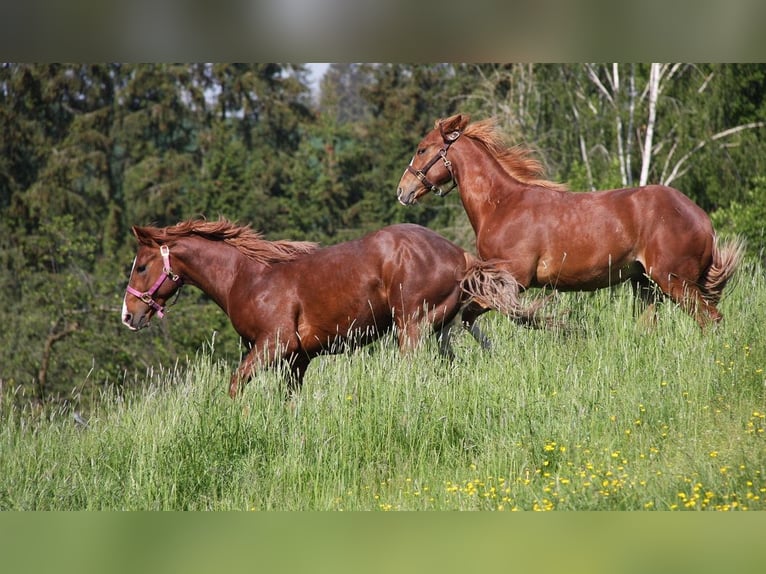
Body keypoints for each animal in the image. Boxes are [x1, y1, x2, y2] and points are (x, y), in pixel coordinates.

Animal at [121, 218, 540, 398]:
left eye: (141, 266)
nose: (128, 315)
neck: (248, 277)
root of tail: (459, 255)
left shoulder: (272, 346)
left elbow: (236, 384)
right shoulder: (297, 360)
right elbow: (289, 400)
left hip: (412, 327)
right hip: (440, 330)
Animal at [400, 113, 748, 328]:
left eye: (422, 149)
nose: (402, 191)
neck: (501, 205)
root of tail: (701, 219)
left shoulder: (514, 278)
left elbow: (482, 313)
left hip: (675, 281)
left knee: (710, 319)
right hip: (644, 284)